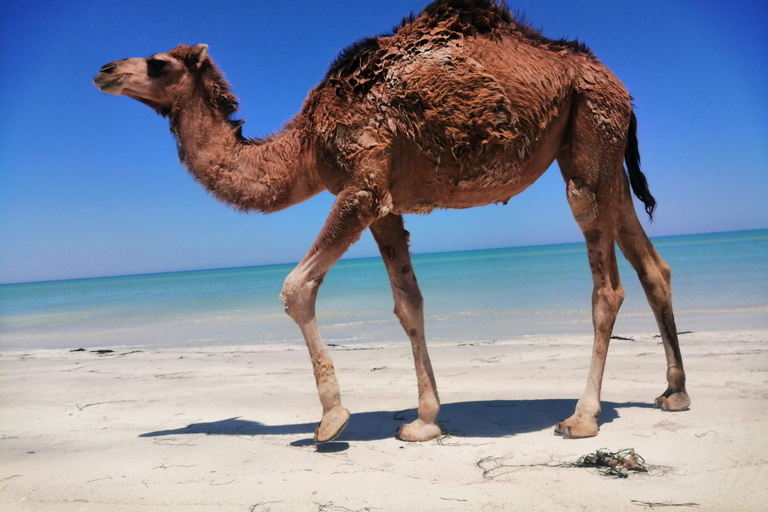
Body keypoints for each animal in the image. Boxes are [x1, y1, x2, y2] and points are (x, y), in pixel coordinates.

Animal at [94, 0, 688, 442]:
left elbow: (296, 288)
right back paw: (674, 393)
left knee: (606, 284)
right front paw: (424, 421)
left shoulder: (360, 184)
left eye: (158, 62)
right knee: (652, 265)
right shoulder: (386, 204)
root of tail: (615, 83)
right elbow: (409, 304)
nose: (103, 69)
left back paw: (582, 416)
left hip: (589, 134)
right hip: (601, 151)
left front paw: (332, 420)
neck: (305, 143)